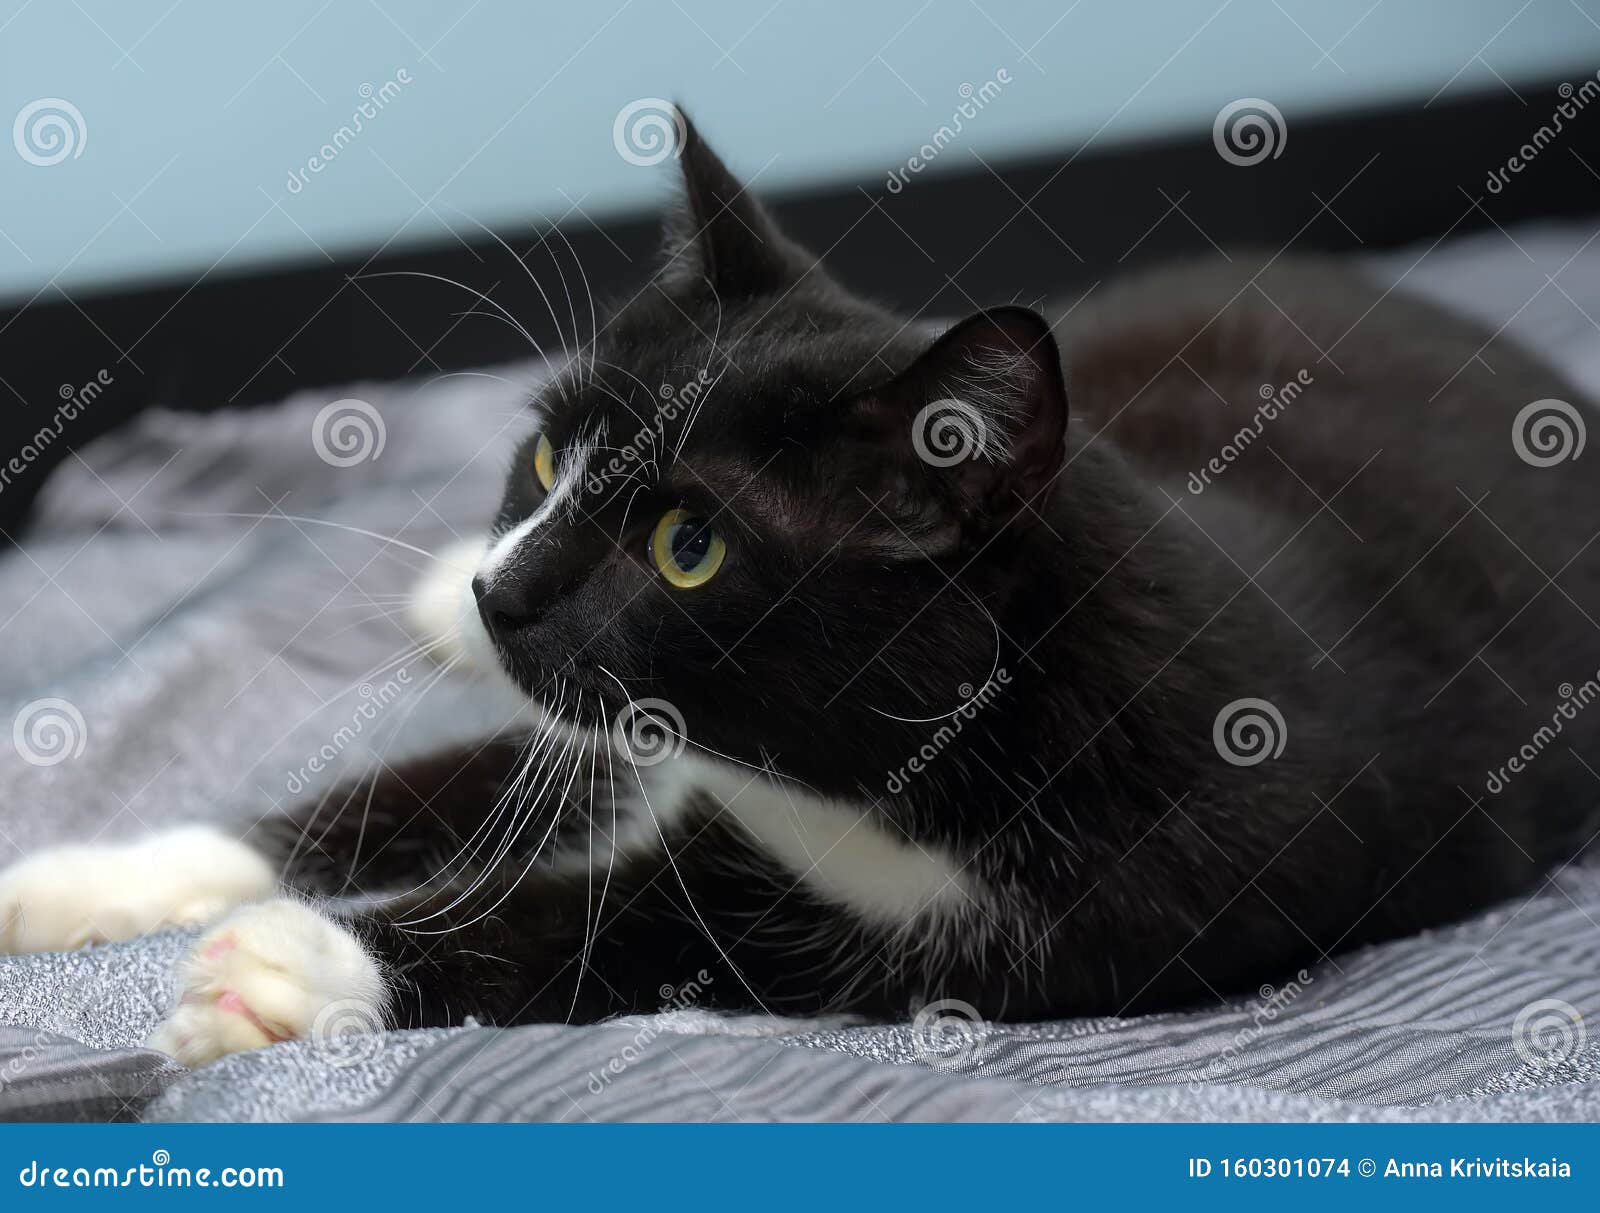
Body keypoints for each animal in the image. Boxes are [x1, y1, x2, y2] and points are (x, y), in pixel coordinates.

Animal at [3, 113, 1600, 1062]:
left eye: (689, 547)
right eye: (547, 454)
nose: (508, 596)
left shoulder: (1013, 929)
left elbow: (611, 929)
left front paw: (293, 969)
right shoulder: (620, 734)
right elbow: (401, 794)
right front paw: (87, 880)